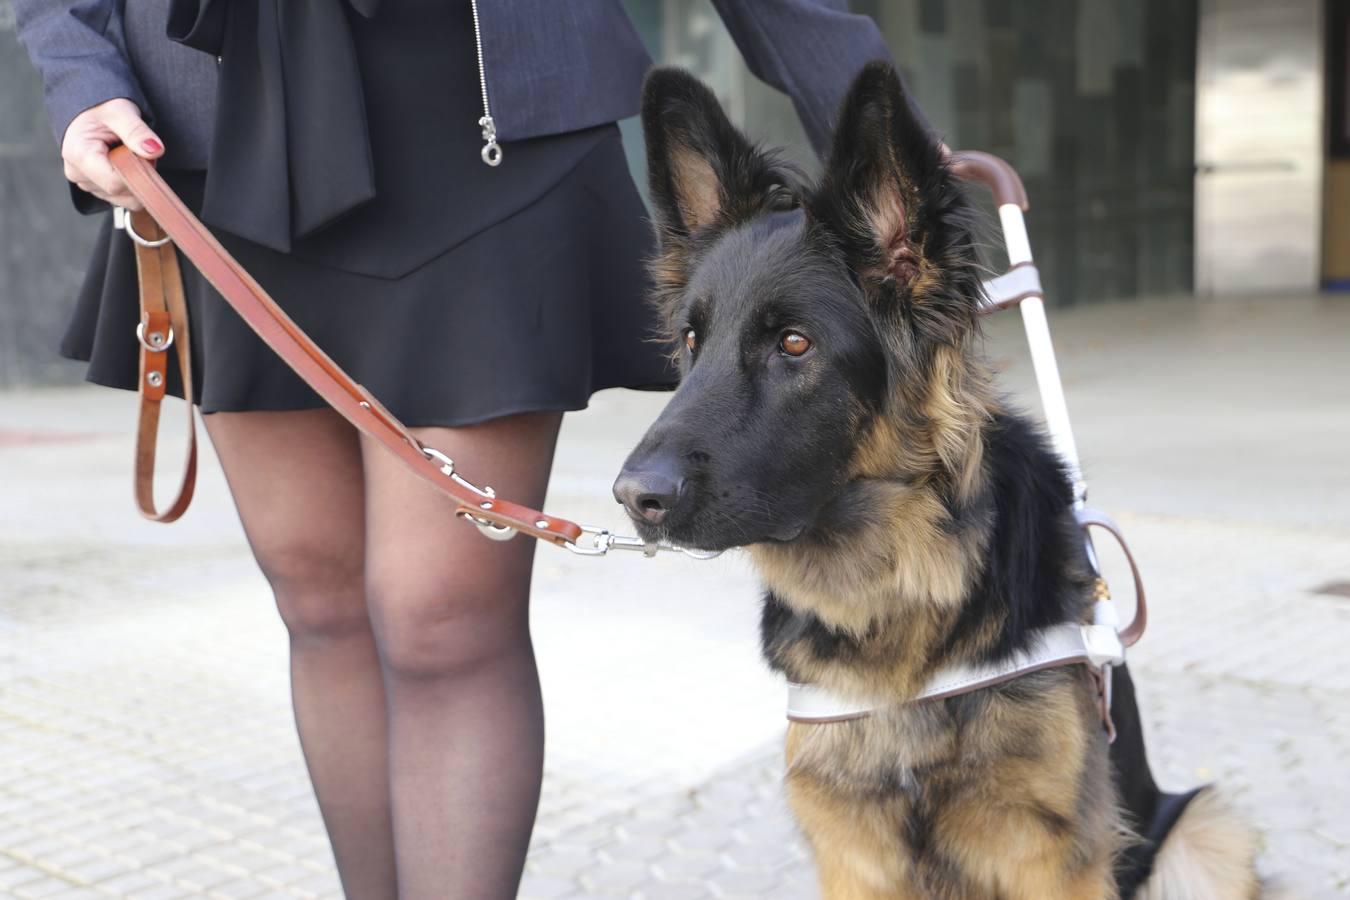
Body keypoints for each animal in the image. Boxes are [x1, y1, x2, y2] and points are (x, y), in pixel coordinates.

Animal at [618, 65, 1258, 900]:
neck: (898, 600)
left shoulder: (1054, 859)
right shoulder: (850, 855)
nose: (633, 497)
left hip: (1206, 832)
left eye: (794, 344)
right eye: (693, 342)